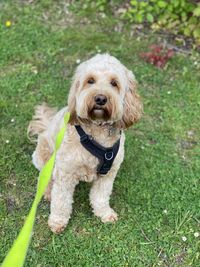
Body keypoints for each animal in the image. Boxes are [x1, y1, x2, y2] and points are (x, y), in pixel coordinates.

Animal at [27, 53, 143, 233]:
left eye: (114, 83)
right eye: (90, 80)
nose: (100, 98)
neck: (96, 130)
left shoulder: (108, 173)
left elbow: (101, 196)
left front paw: (104, 213)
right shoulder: (65, 173)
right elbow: (61, 201)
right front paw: (58, 221)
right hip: (44, 156)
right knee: (44, 177)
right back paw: (47, 192)